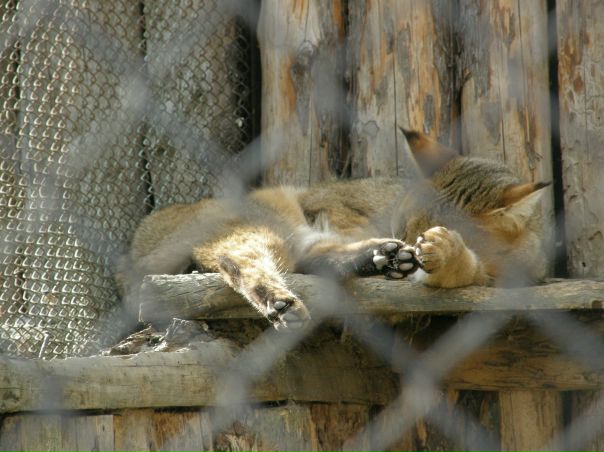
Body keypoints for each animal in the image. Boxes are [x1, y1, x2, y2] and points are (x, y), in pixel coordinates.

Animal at [118, 129, 549, 330]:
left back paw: (380, 258)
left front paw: (438, 254)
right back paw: (281, 301)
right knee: (239, 260)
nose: (408, 245)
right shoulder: (332, 208)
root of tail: (136, 242)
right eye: (402, 224)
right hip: (264, 228)